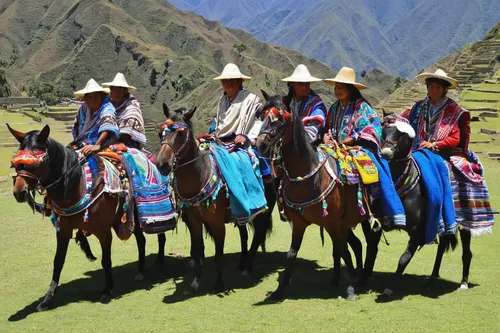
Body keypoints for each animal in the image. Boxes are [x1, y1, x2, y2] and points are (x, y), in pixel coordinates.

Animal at [10, 123, 135, 310]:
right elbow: (58, 261)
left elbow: (106, 260)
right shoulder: (62, 231)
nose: (19, 192)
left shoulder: (104, 232)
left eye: (38, 162)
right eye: (15, 163)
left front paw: (107, 290)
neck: (76, 187)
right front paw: (47, 299)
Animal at [156, 104, 274, 294]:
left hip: (264, 212)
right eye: (161, 133)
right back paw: (242, 264)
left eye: (181, 133)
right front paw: (195, 283)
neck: (199, 176)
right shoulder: (194, 222)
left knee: (258, 236)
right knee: (244, 236)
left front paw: (218, 284)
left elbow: (219, 254)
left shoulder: (217, 224)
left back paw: (247, 269)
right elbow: (197, 251)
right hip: (241, 213)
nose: (162, 165)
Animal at [256, 94, 366, 300]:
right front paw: (279, 290)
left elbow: (343, 251)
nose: (261, 144)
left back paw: (361, 278)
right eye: (262, 115)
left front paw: (350, 289)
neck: (309, 176)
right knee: (356, 245)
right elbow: (291, 254)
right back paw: (349, 278)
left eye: (281, 118)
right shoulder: (300, 224)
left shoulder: (333, 224)